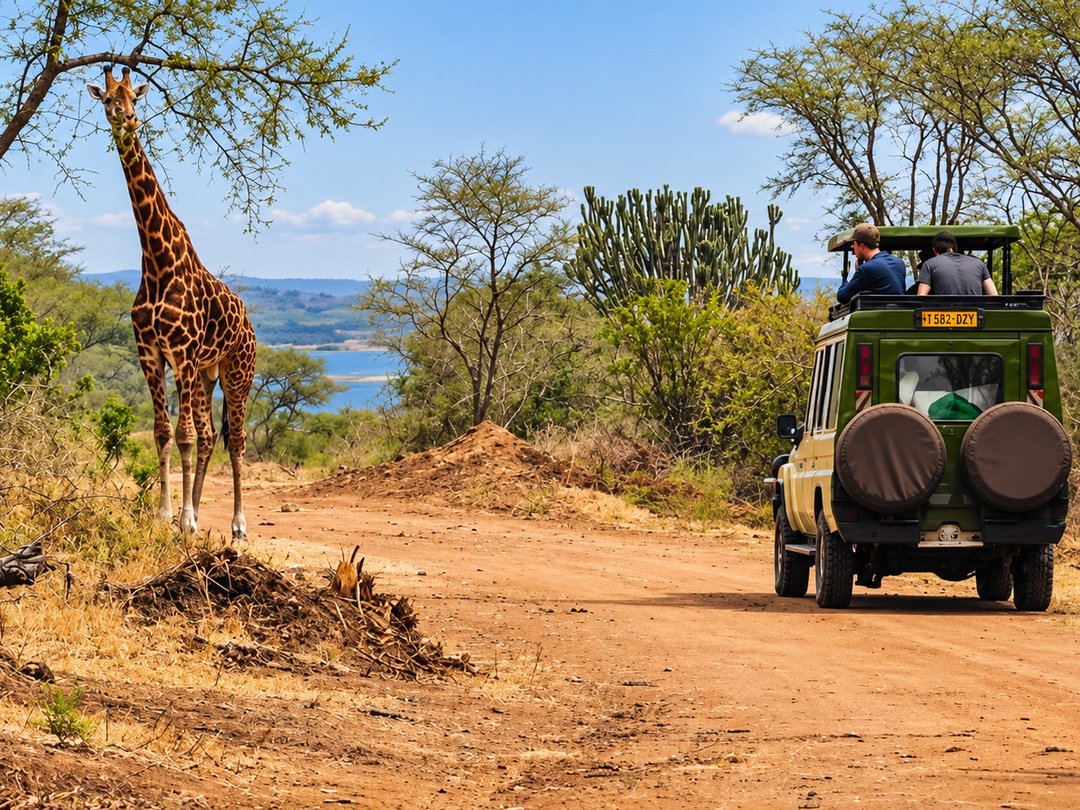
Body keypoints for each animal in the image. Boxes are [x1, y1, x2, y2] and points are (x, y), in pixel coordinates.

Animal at [88, 67, 257, 540]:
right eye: (107, 98)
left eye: (134, 98)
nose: (127, 119)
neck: (157, 259)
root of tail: (249, 322)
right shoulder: (150, 352)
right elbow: (164, 432)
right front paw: (168, 516)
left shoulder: (180, 353)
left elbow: (181, 436)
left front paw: (182, 518)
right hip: (205, 373)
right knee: (209, 434)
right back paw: (198, 510)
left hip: (237, 372)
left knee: (236, 437)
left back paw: (238, 524)